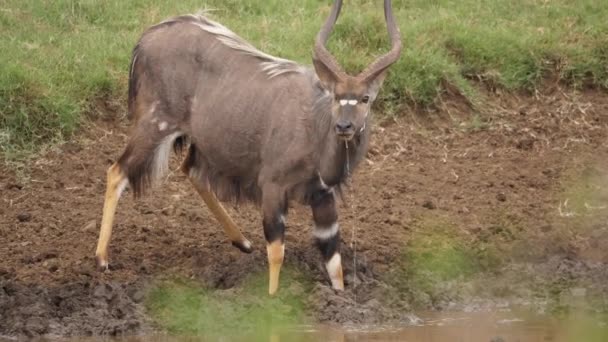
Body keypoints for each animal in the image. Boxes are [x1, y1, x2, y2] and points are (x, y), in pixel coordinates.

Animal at [95, 0, 402, 294]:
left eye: (365, 98)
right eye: (337, 96)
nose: (344, 127)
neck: (315, 126)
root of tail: (146, 38)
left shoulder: (323, 197)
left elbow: (334, 262)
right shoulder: (273, 187)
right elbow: (277, 252)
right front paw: (272, 301)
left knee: (191, 170)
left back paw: (242, 241)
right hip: (155, 124)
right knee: (117, 170)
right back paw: (101, 259)